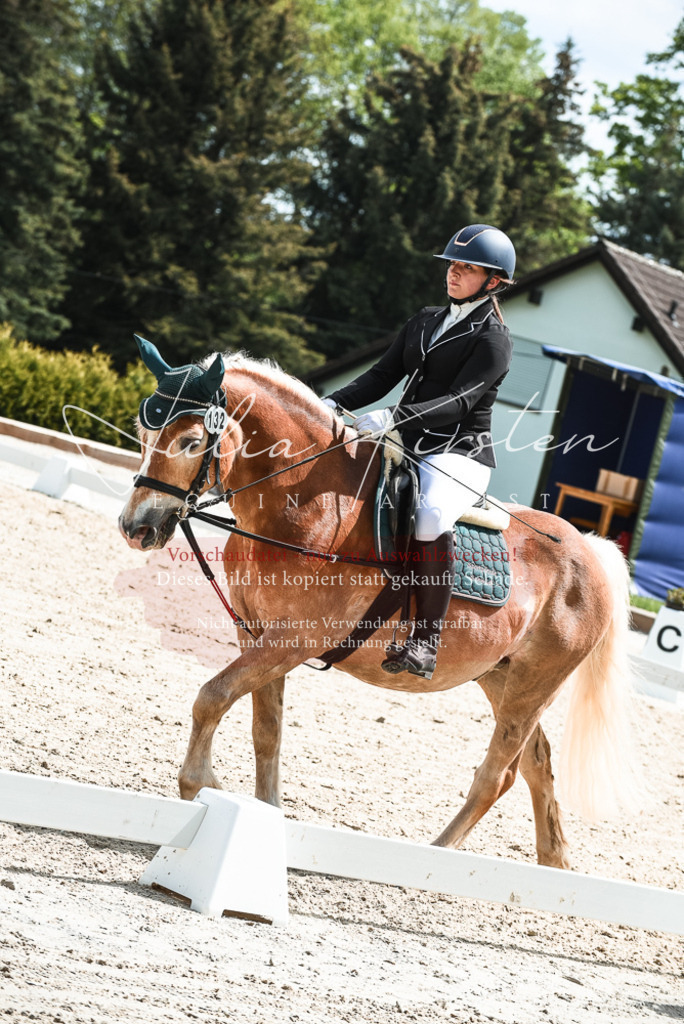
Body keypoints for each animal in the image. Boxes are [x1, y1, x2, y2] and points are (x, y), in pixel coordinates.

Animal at [119, 351, 641, 870]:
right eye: (143, 435)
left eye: (189, 442)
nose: (135, 528)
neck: (303, 505)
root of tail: (589, 549)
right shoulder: (257, 634)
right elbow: (266, 730)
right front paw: (263, 813)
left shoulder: (296, 639)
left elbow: (212, 695)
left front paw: (199, 784)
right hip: (501, 675)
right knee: (534, 765)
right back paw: (554, 864)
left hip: (535, 684)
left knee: (497, 774)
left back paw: (433, 859)